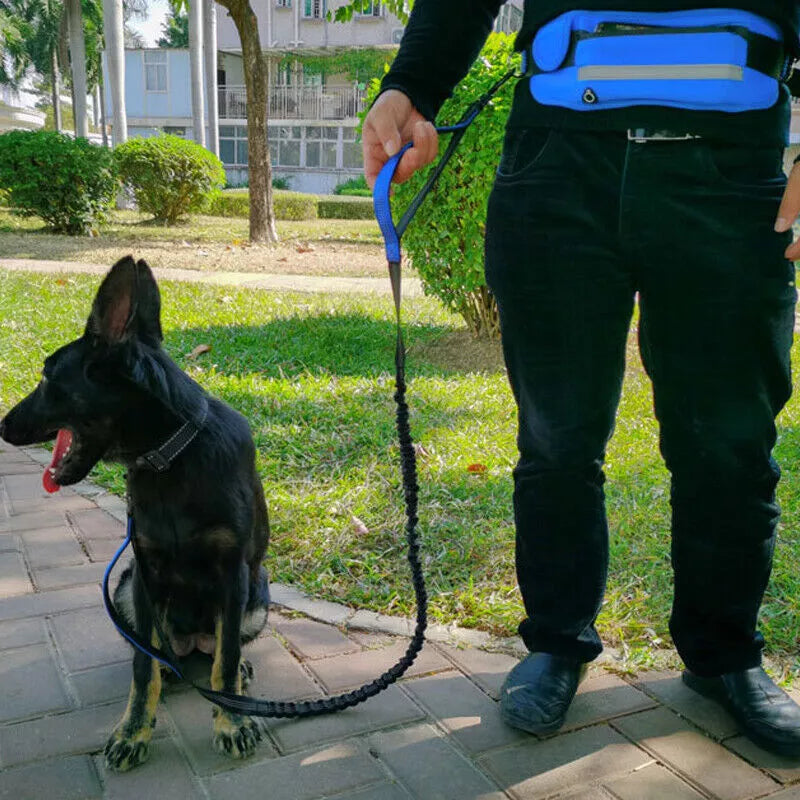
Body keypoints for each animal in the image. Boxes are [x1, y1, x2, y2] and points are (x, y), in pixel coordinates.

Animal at [0, 256, 272, 768]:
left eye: (47, 379)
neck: (172, 458)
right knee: (162, 657)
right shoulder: (146, 573)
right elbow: (144, 667)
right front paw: (133, 731)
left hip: (258, 591)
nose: (2, 426)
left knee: (219, 650)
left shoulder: (233, 575)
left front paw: (231, 720)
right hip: (126, 587)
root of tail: (190, 644)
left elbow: (224, 661)